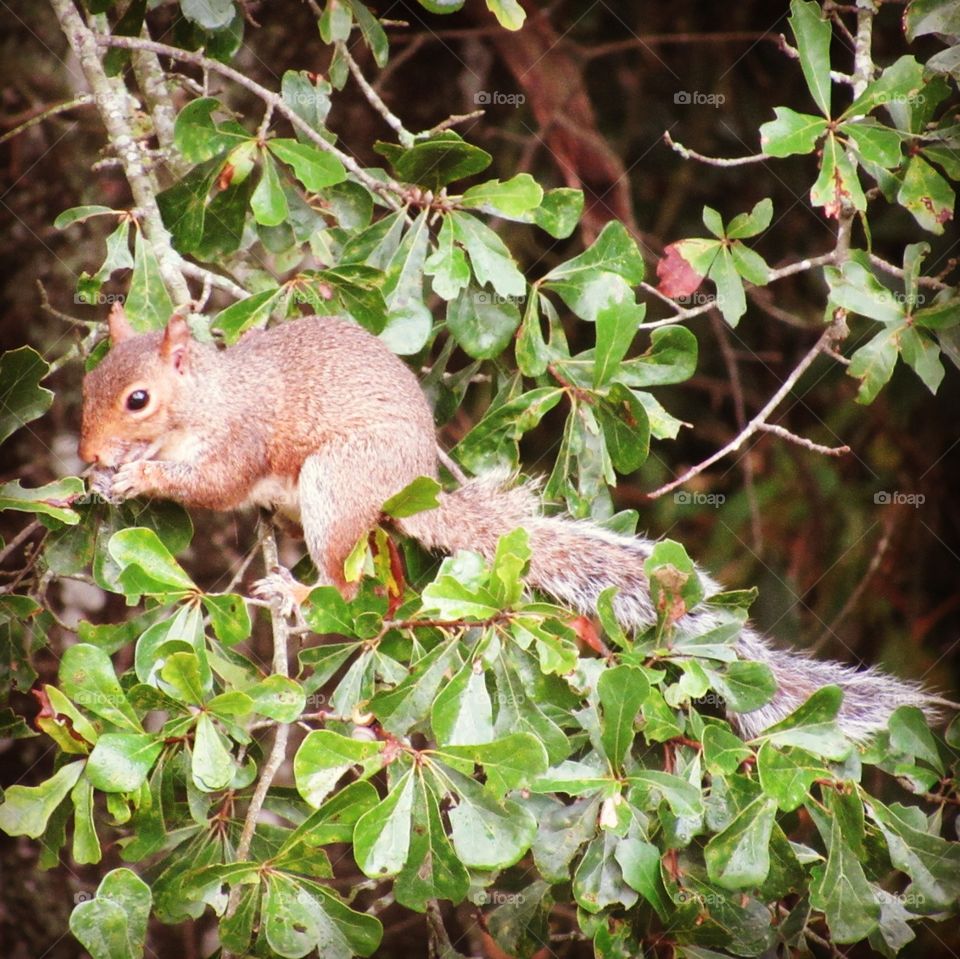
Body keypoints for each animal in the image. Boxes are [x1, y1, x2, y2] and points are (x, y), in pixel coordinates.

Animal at [79, 308, 942, 741]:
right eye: (86, 385)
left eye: (137, 400)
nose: (86, 453)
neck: (208, 399)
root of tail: (410, 487)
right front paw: (107, 481)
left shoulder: (243, 437)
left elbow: (217, 482)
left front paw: (142, 477)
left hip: (336, 479)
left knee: (349, 582)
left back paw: (298, 593)